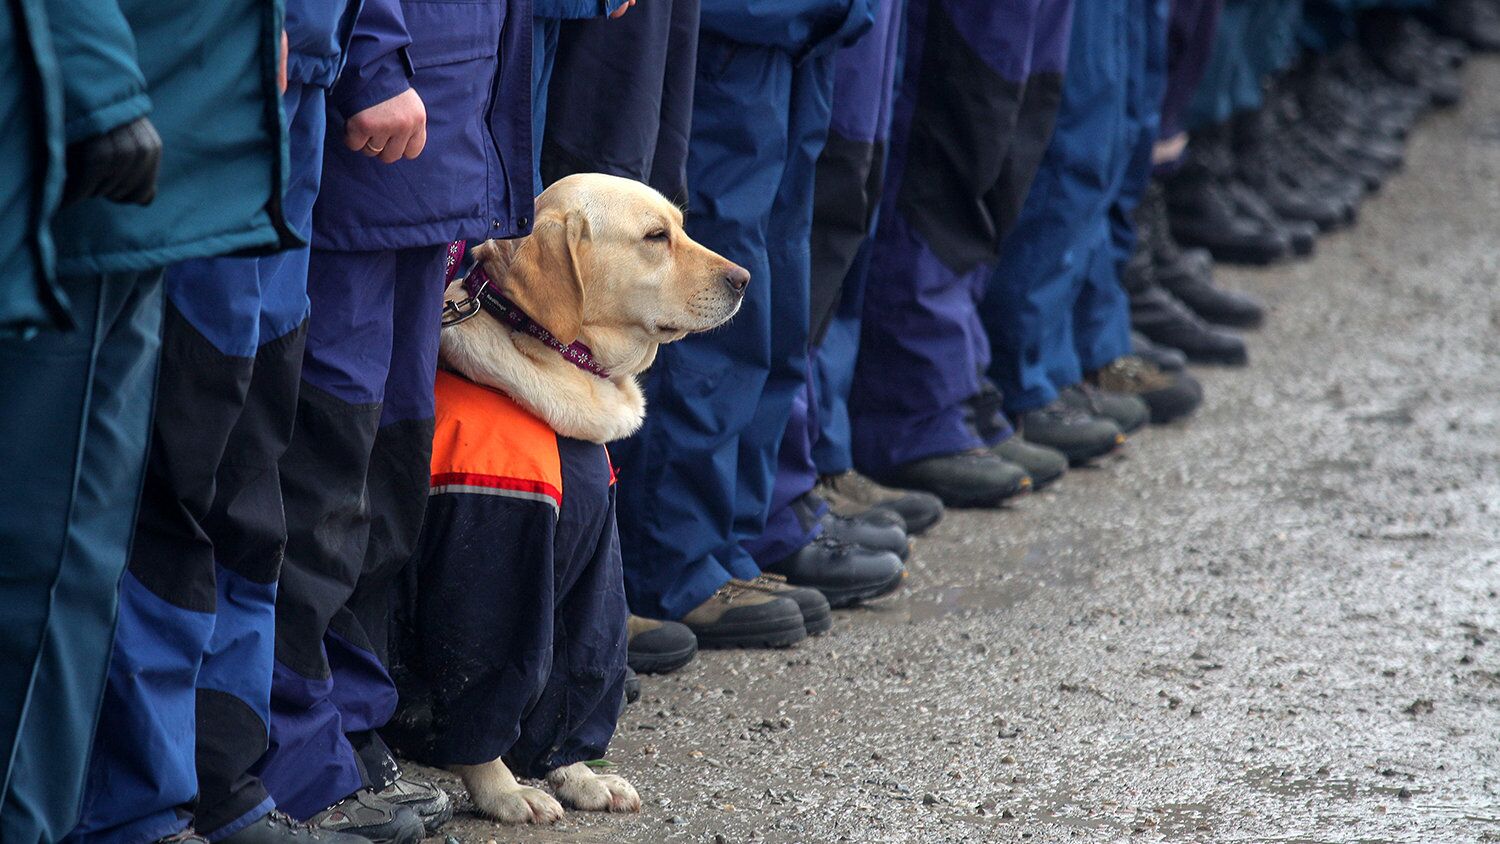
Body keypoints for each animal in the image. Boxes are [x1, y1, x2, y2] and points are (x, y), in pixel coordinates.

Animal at [420, 173, 747, 827]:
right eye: (655, 237)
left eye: (681, 226)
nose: (745, 279)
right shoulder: (494, 556)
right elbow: (480, 686)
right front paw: (503, 791)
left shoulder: (592, 570)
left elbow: (573, 679)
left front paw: (575, 775)